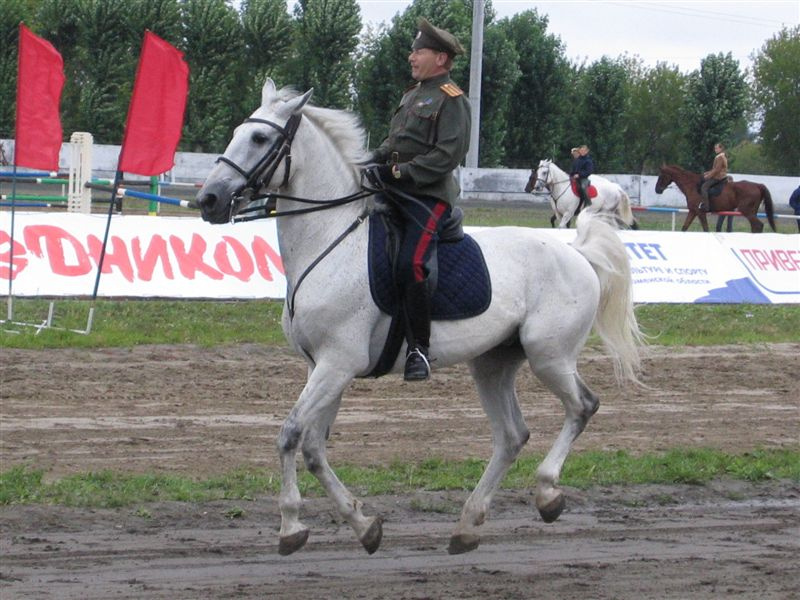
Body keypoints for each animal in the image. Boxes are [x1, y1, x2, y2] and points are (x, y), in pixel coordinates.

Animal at [196, 79, 644, 556]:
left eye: (260, 138)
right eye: (239, 132)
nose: (209, 199)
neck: (332, 239)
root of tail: (576, 252)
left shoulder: (337, 363)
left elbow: (290, 434)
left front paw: (292, 526)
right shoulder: (324, 366)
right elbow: (314, 448)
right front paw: (363, 525)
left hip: (550, 357)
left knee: (582, 406)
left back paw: (546, 494)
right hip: (493, 364)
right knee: (512, 436)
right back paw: (467, 525)